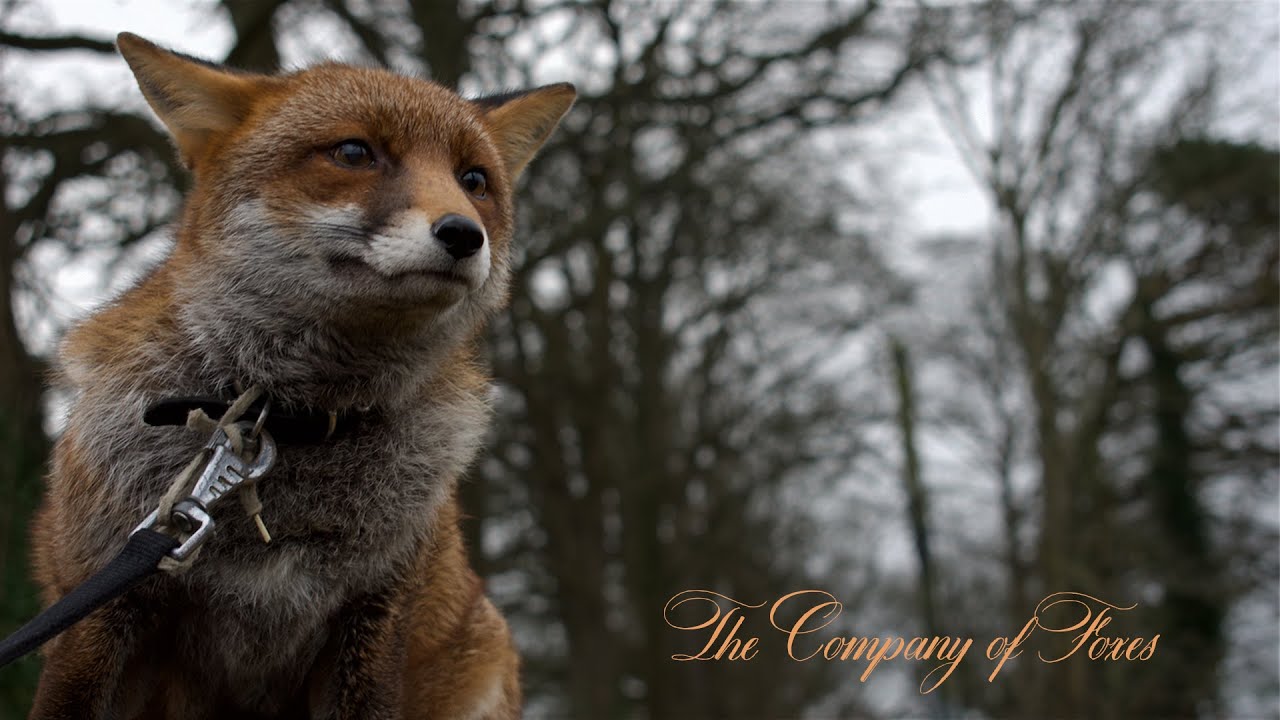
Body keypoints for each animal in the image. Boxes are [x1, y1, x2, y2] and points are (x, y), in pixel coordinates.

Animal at [25, 33, 574, 719]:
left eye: (473, 179)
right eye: (354, 152)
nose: (464, 235)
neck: (290, 421)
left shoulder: (374, 614)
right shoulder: (102, 600)